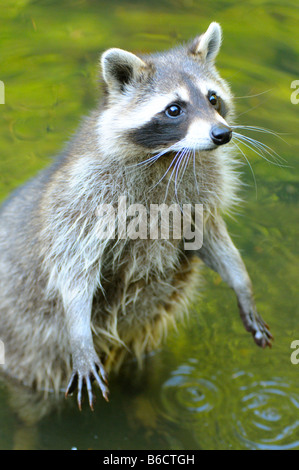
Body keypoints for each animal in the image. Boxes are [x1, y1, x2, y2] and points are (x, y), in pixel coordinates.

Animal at [0, 22, 272, 410]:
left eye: (213, 99)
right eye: (174, 109)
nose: (223, 134)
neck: (168, 154)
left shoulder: (199, 197)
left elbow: (212, 239)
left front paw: (242, 283)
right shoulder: (84, 196)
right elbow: (74, 268)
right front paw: (79, 330)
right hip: (29, 349)